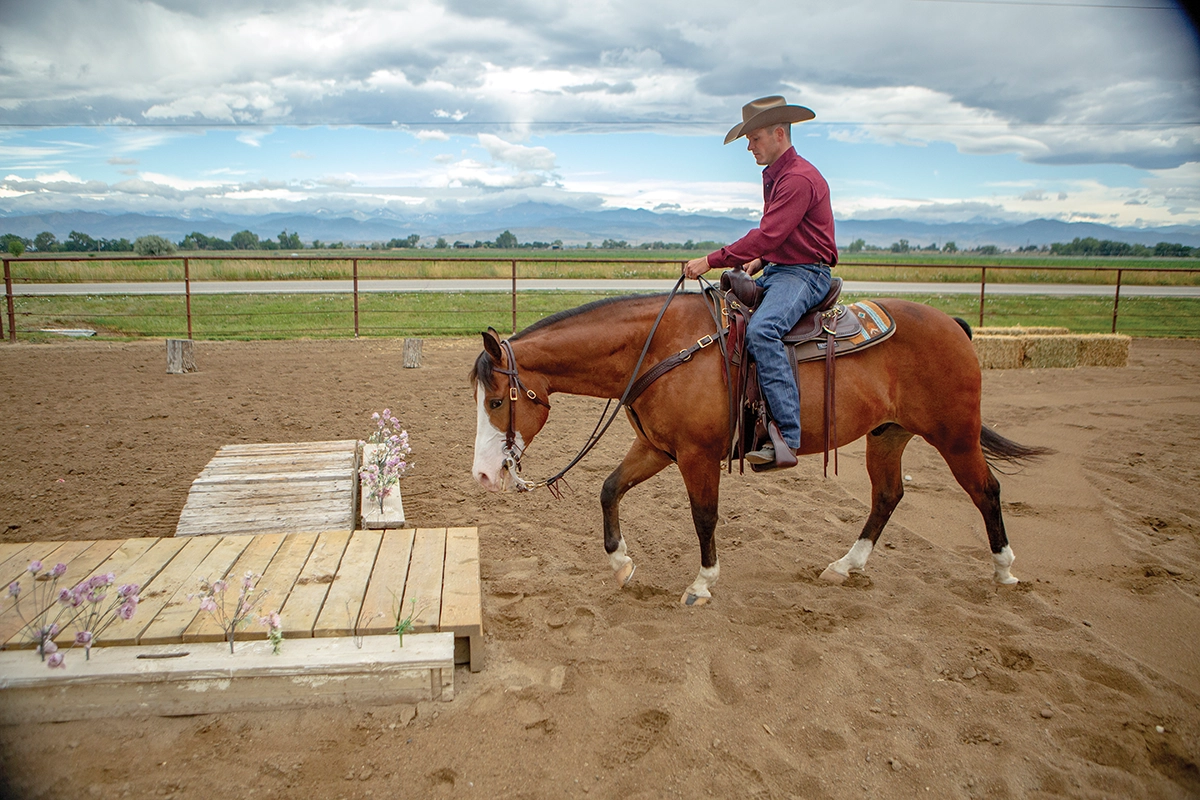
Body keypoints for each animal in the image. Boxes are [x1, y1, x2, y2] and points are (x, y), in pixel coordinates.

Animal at [470, 290, 1048, 606]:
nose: (483, 475)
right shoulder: (657, 447)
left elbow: (704, 516)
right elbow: (610, 489)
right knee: (888, 496)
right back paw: (845, 566)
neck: (658, 349)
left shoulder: (697, 455)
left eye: (497, 400)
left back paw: (1005, 570)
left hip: (955, 435)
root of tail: (953, 325)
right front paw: (621, 564)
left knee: (986, 490)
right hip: (887, 435)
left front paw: (702, 583)